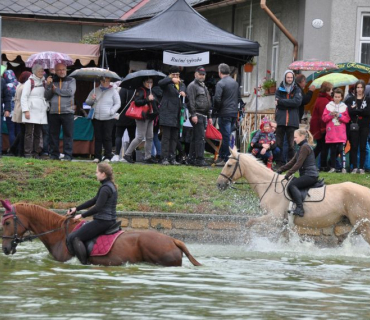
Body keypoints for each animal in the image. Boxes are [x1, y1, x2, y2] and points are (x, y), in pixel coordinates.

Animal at [215, 148, 370, 245]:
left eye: (229, 165)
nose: (219, 184)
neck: (269, 186)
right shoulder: (283, 223)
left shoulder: (274, 218)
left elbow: (249, 223)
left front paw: (247, 241)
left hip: (363, 225)